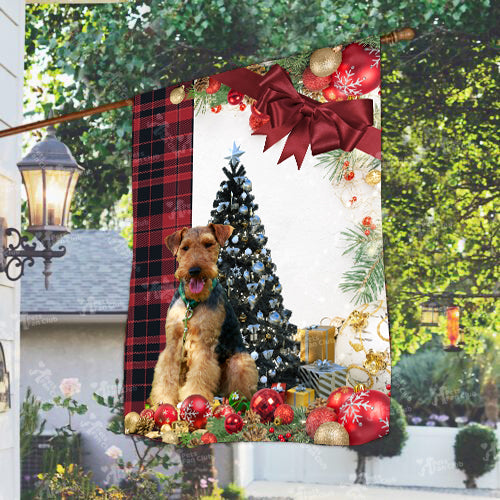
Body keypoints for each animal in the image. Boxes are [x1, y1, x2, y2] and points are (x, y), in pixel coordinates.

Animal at [148, 223, 258, 406]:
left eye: (208, 244)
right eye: (185, 247)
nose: (194, 270)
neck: (191, 303)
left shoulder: (204, 344)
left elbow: (200, 374)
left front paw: (195, 396)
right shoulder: (173, 344)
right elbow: (166, 375)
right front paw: (163, 400)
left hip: (239, 361)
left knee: (241, 392)